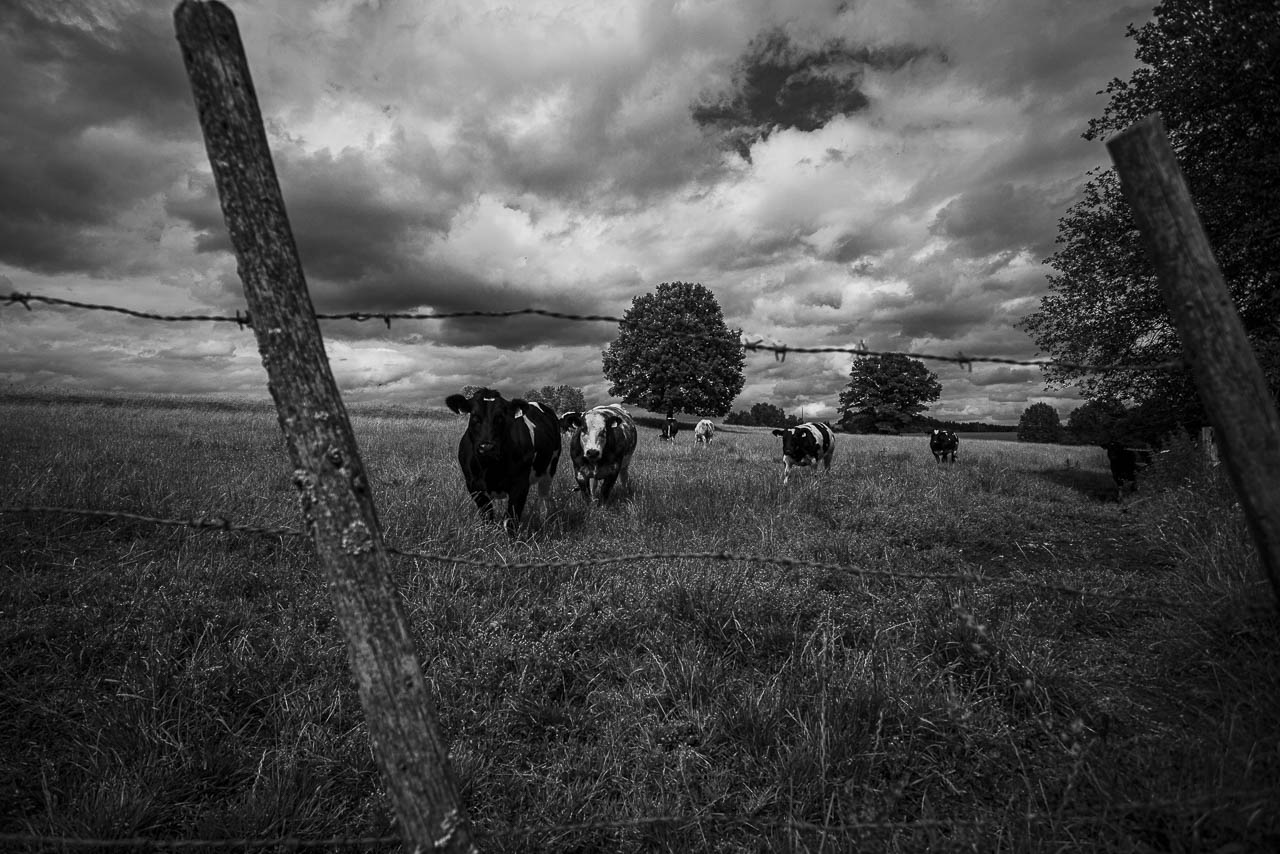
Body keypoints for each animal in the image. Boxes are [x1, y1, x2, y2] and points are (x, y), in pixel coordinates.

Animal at [444, 388, 561, 530]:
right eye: (474, 416)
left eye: (500, 417)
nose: (487, 447)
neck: (490, 468)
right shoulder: (473, 485)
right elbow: (487, 516)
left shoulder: (520, 484)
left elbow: (511, 520)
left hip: (550, 468)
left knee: (544, 497)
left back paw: (545, 521)